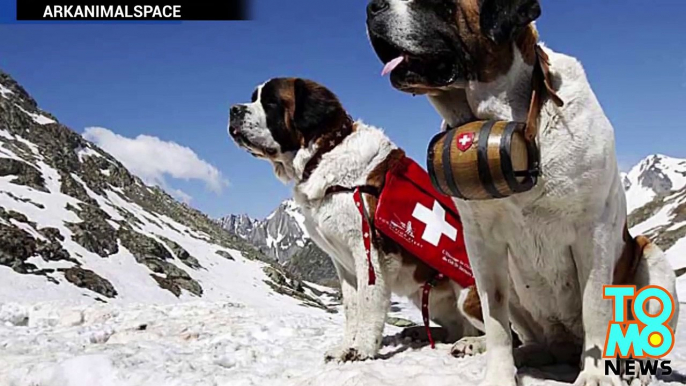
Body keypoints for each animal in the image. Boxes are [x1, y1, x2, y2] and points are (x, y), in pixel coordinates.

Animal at [228, 77, 482, 362]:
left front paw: (362, 349)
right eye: (254, 97)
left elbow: (369, 301)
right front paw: (345, 346)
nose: (233, 110)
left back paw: (472, 343)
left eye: (271, 102)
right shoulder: (342, 262)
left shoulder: (369, 251)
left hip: (468, 294)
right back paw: (421, 332)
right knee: (455, 328)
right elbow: (352, 306)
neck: (324, 153)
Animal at [368, 0, 680, 386]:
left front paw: (596, 375)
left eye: (438, 5)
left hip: (653, 260)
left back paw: (631, 368)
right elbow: (496, 318)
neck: (512, 120)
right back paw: (503, 349)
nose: (371, 7)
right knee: (531, 338)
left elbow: (595, 307)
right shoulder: (482, 244)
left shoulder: (593, 234)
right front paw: (499, 373)